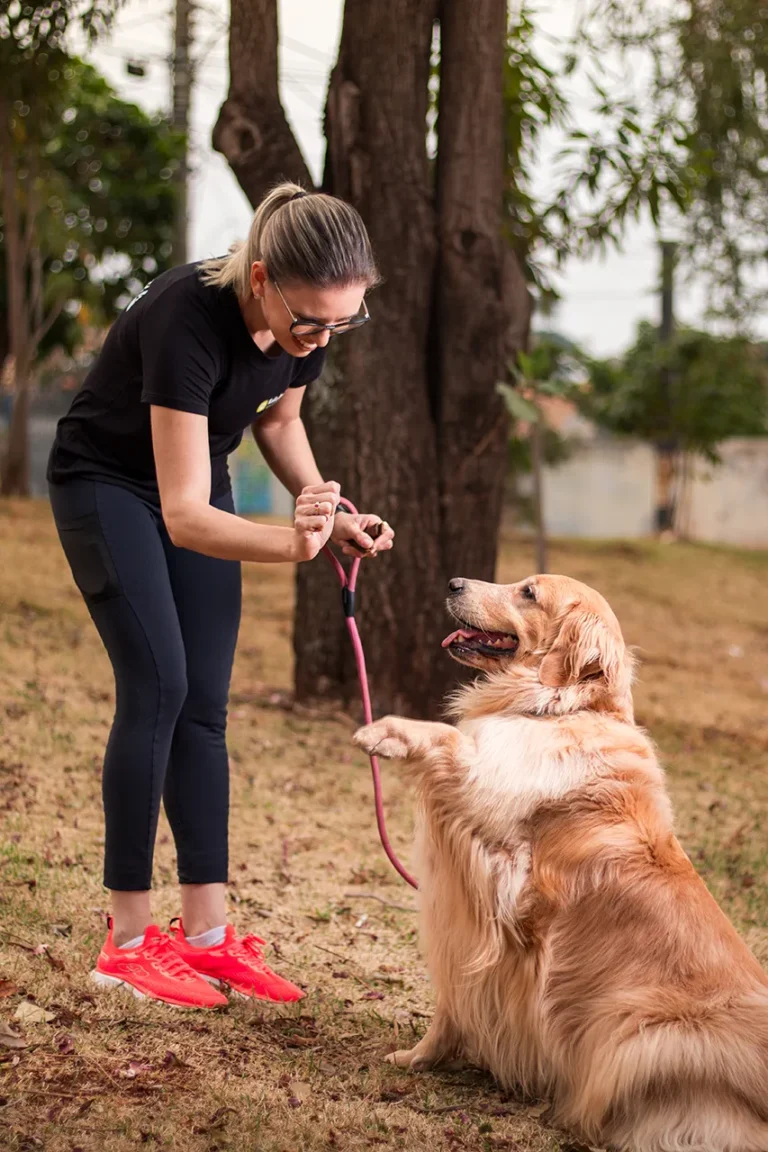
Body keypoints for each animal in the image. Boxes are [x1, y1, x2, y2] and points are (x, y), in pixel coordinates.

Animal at [352, 580, 768, 1152]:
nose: (453, 584)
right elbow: (453, 1001)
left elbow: (449, 736)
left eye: (528, 592)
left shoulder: (489, 827)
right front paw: (419, 1057)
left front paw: (387, 732)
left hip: (646, 1036)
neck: (565, 707)